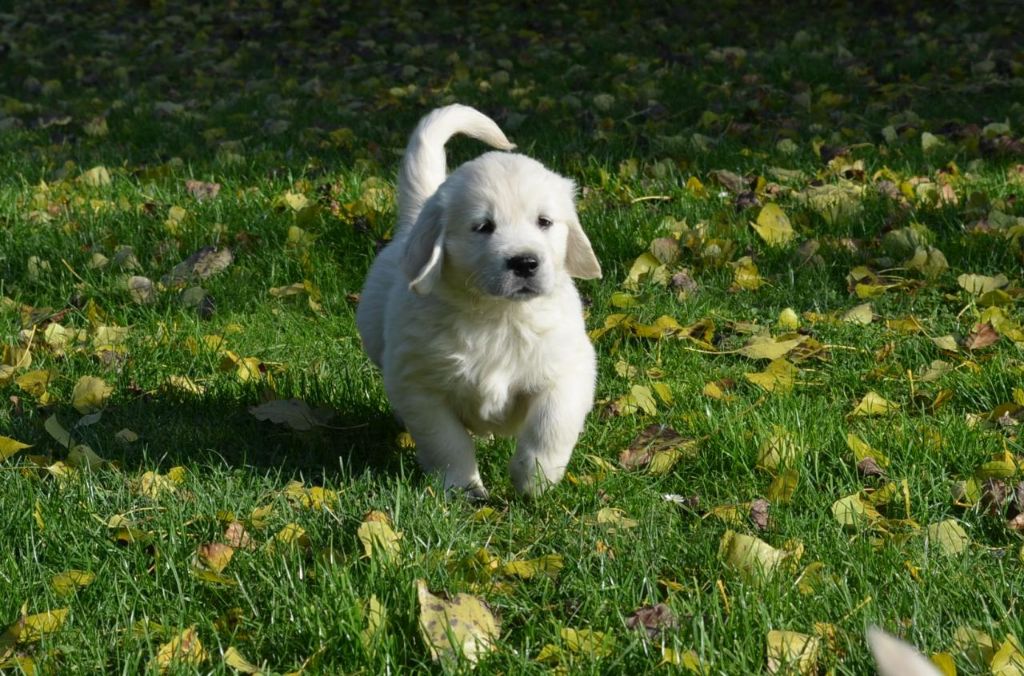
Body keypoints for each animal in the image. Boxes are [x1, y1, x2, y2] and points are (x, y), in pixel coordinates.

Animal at [358, 104, 598, 495]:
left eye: (544, 222)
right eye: (483, 227)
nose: (525, 262)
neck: (499, 315)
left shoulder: (569, 368)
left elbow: (550, 424)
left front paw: (535, 480)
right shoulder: (419, 384)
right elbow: (446, 440)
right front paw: (465, 490)